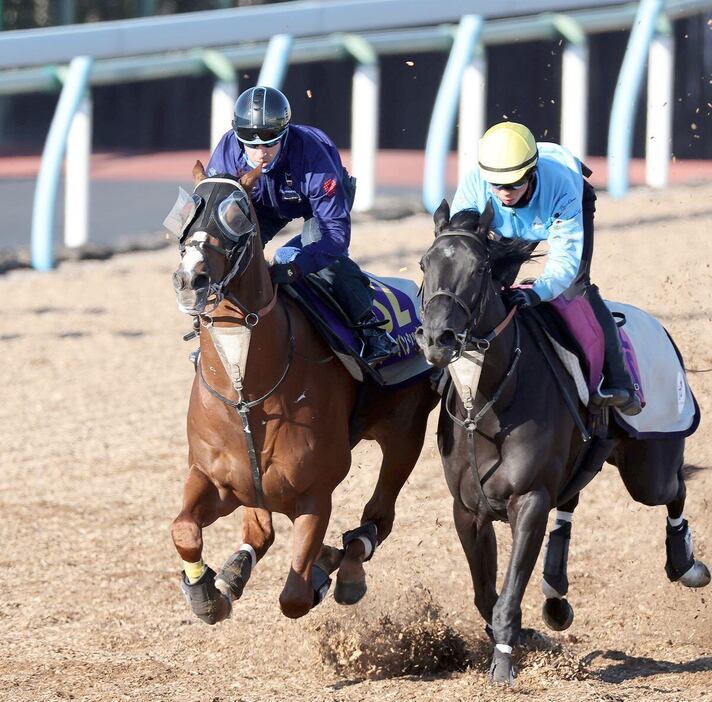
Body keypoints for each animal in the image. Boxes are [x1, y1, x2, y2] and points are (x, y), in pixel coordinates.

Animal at [168, 164, 440, 620]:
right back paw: (235, 573)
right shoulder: (214, 478)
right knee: (260, 532)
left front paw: (318, 575)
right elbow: (184, 529)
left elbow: (294, 597)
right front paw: (206, 591)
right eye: (189, 211)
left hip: (405, 434)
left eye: (237, 214)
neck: (245, 392)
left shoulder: (315, 493)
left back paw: (345, 568)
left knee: (377, 520)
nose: (191, 278)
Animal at [414, 202, 708, 688]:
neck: (488, 404)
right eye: (424, 264)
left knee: (673, 491)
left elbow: (507, 594)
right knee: (571, 501)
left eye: (480, 269)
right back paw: (555, 597)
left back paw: (686, 564)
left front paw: (503, 664)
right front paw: (521, 638)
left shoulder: (530, 499)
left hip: (649, 467)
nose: (439, 340)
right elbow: (485, 594)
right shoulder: (468, 510)